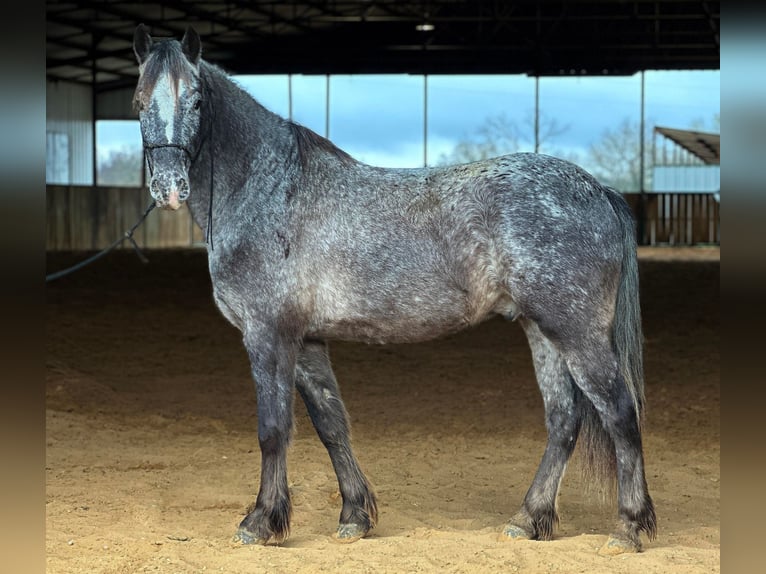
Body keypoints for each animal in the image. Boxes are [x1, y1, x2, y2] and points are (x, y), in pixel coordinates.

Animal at [132, 24, 660, 556]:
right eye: (138, 101)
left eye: (197, 100)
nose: (170, 188)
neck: (270, 190)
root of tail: (600, 191)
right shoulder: (306, 339)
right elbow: (331, 423)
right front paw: (355, 515)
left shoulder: (268, 335)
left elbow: (273, 429)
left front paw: (260, 522)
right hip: (542, 330)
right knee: (564, 421)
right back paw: (528, 519)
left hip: (577, 333)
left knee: (620, 412)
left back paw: (628, 528)